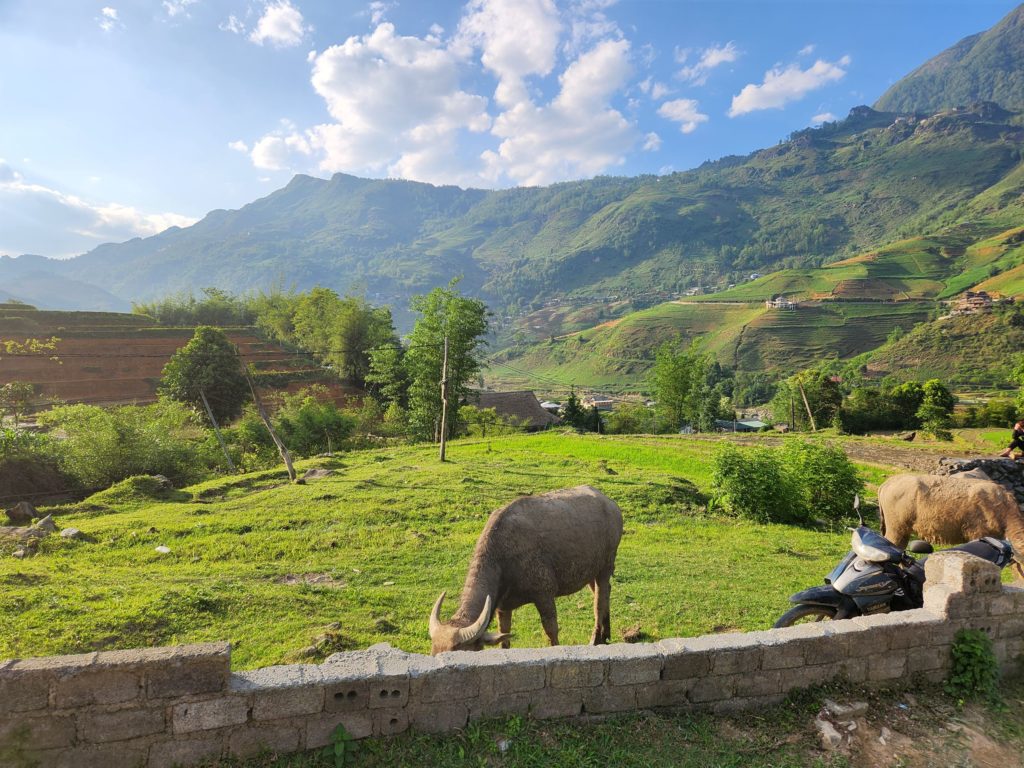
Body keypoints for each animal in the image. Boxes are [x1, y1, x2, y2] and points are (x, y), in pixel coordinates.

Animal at [425, 487, 618, 655]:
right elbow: (504, 636)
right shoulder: (502, 607)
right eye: (434, 653)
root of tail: (610, 503)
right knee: (604, 593)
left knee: (599, 601)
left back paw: (596, 639)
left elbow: (551, 630)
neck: (502, 557)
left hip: (605, 567)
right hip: (591, 572)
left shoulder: (544, 595)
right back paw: (606, 635)